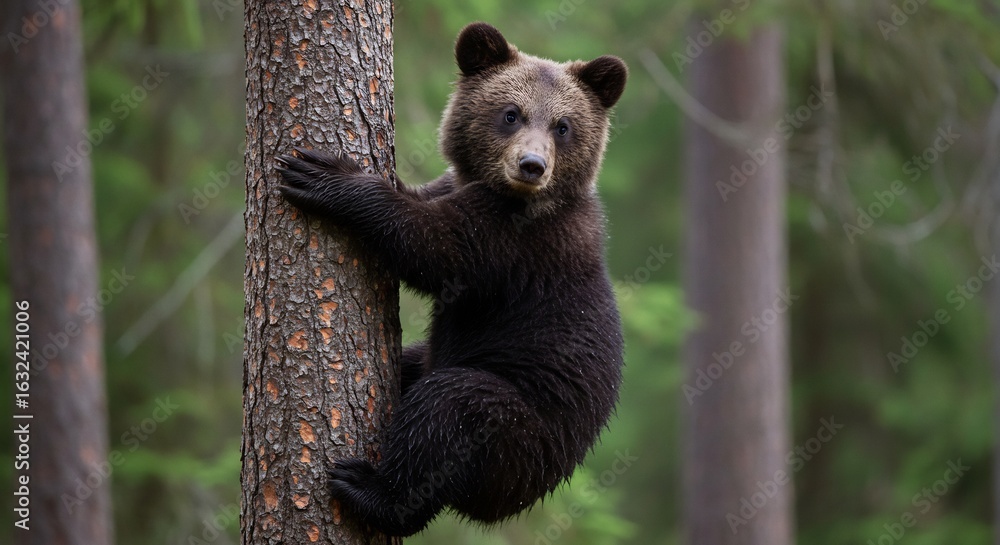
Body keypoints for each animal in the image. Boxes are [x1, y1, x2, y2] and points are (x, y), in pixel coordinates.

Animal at [276, 22, 627, 537]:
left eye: (563, 126)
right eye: (510, 114)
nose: (531, 165)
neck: (510, 196)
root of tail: (512, 503)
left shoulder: (515, 246)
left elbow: (431, 246)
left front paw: (323, 174)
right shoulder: (457, 190)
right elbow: (422, 202)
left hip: (517, 436)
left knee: (447, 410)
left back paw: (367, 489)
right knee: (413, 370)